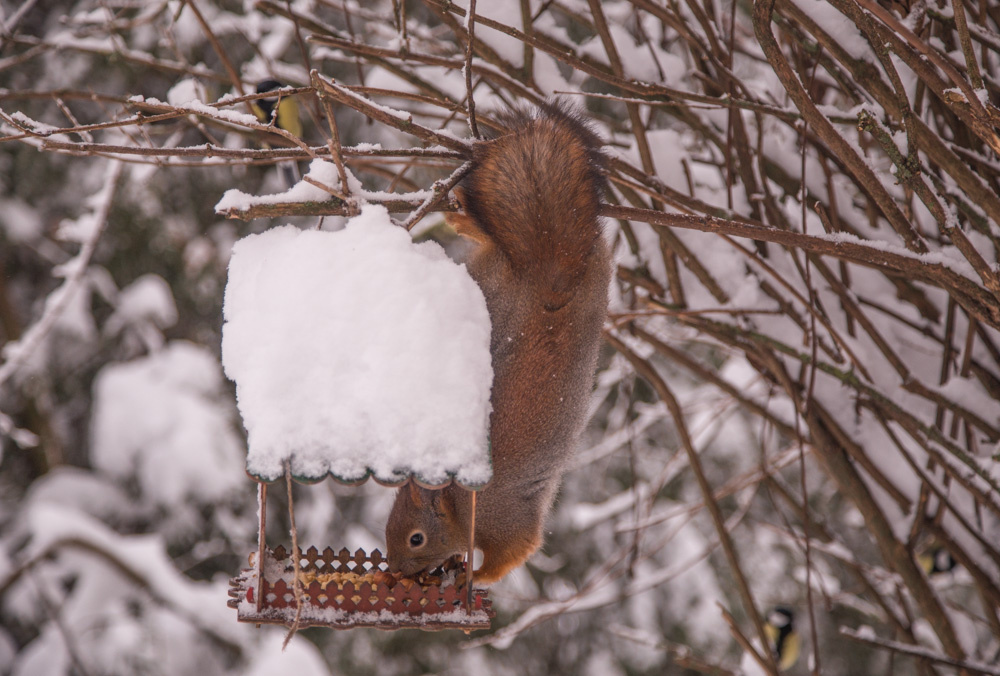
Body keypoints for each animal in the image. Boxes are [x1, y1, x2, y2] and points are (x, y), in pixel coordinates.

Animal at [385, 102, 611, 585]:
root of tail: (548, 274)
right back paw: (462, 216)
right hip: (505, 276)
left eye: (416, 538)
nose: (394, 572)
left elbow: (516, 551)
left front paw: (472, 574)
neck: (459, 504)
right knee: (494, 239)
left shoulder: (505, 520)